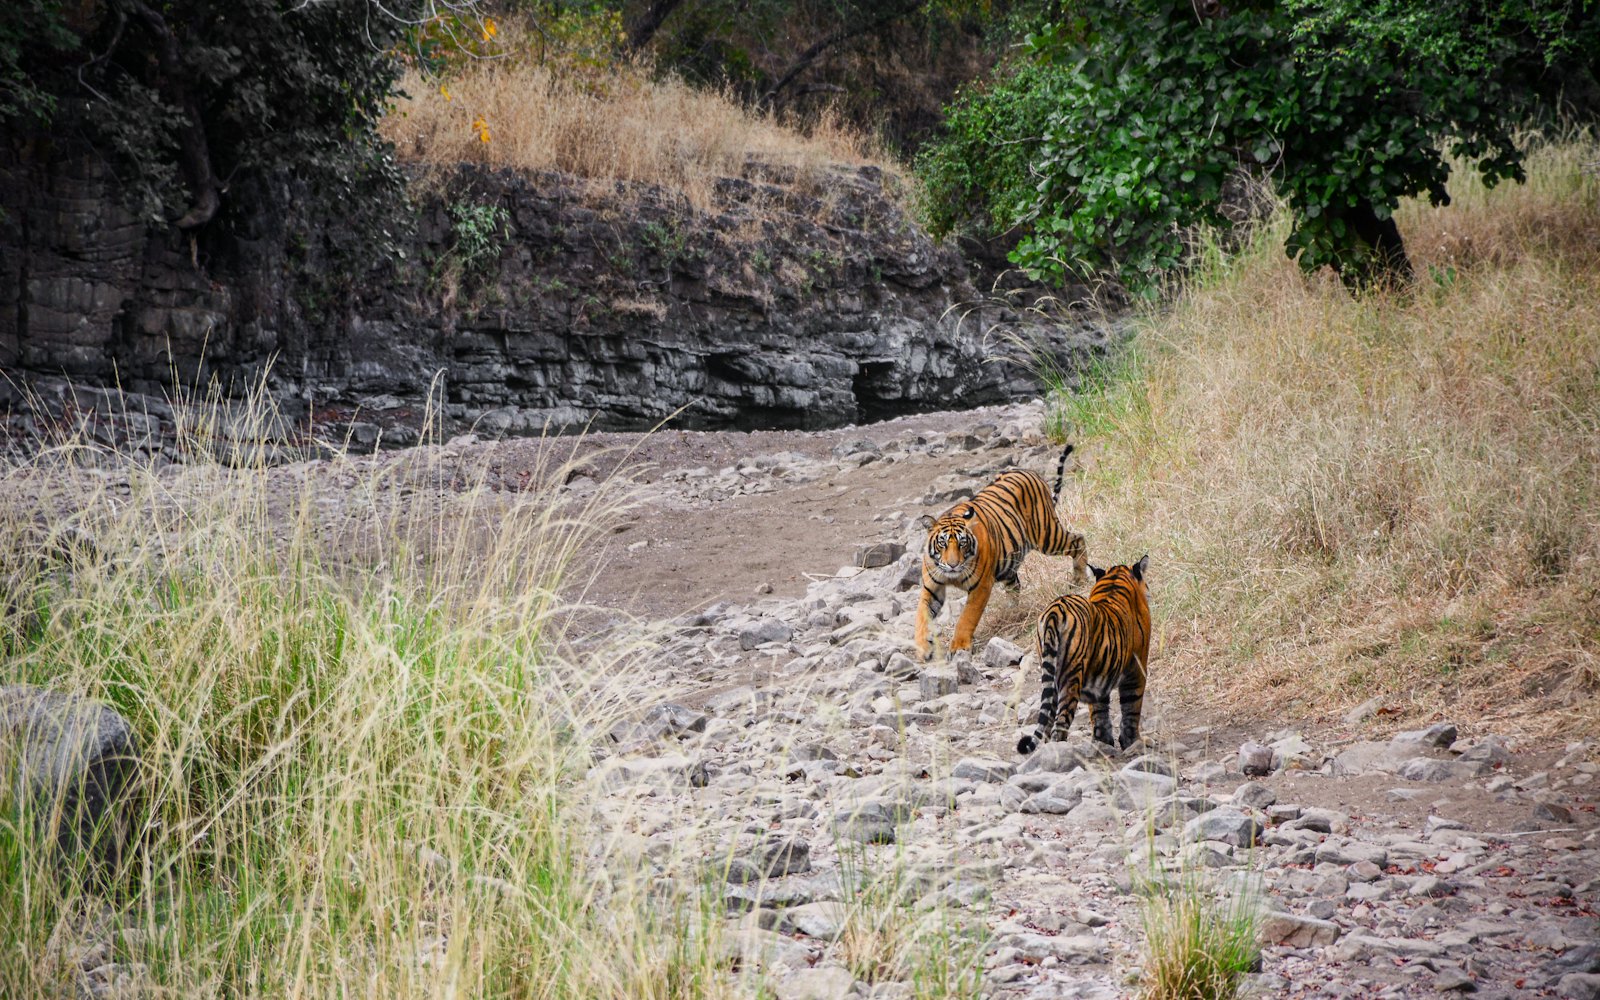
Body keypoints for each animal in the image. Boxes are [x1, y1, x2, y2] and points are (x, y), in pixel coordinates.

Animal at [913, 443, 1089, 663]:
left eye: (962, 543)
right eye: (942, 544)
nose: (953, 565)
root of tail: (1030, 472)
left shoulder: (981, 586)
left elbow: (967, 617)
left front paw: (959, 647)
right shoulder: (931, 588)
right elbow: (922, 617)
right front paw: (922, 648)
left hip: (1047, 536)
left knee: (1078, 539)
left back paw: (1080, 578)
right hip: (1010, 562)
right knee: (1015, 585)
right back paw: (1012, 611)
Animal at [1017, 554, 1151, 755]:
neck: (1115, 579)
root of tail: (1055, 611)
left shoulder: (1100, 675)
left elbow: (1099, 711)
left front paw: (1103, 741)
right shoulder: (1137, 669)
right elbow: (1131, 708)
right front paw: (1132, 742)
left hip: (1051, 675)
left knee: (1047, 722)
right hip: (1070, 678)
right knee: (1059, 724)